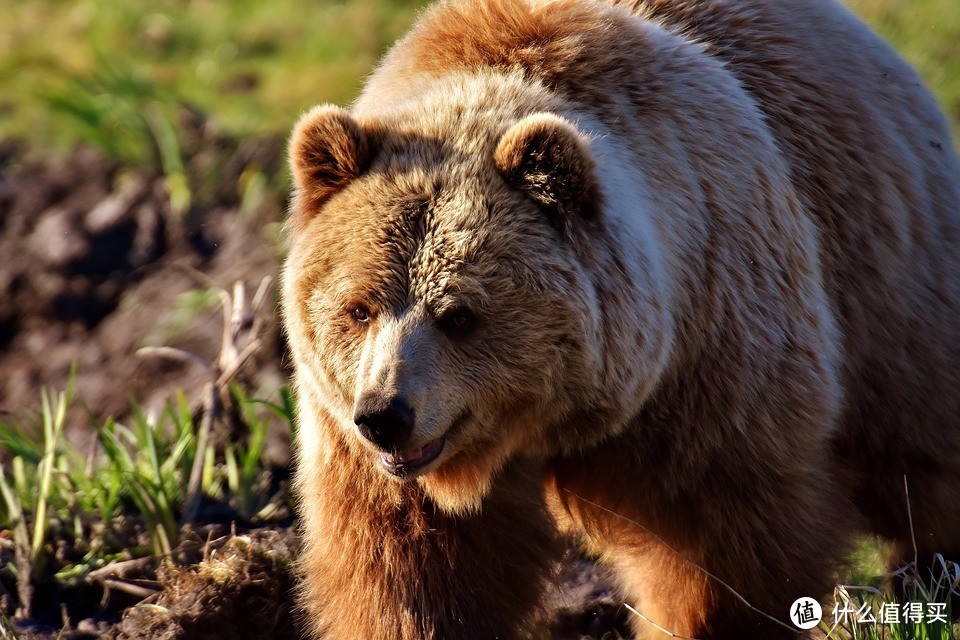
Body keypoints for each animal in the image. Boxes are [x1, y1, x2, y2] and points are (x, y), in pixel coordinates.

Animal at [282, 0, 960, 636]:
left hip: (884, 284)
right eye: (359, 308)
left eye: (460, 315)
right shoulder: (358, 444)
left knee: (916, 452)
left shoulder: (711, 359)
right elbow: (411, 571)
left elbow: (719, 547)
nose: (386, 416)